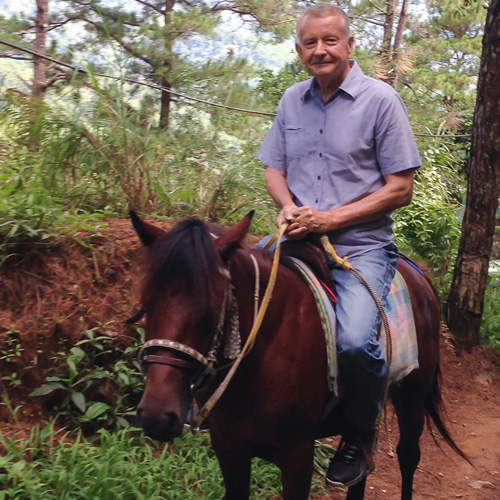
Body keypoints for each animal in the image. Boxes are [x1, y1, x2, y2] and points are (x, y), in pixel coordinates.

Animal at [129, 211, 464, 500]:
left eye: (210, 310)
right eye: (146, 304)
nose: (157, 416)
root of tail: (419, 273)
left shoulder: (297, 456)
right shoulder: (228, 449)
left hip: (412, 396)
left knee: (408, 456)